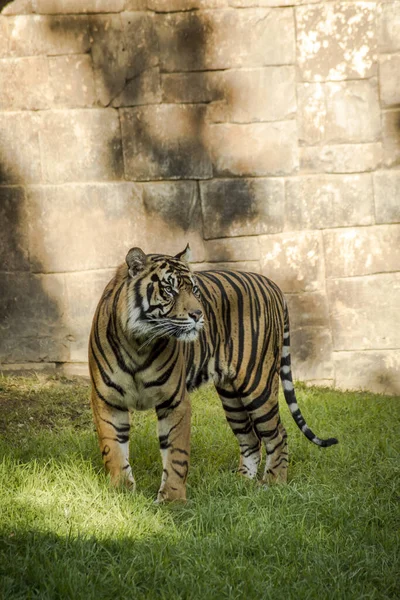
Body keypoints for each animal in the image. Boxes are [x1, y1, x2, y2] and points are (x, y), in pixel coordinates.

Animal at [88, 244, 338, 502]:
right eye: (169, 289)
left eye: (194, 289)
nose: (199, 315)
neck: (139, 343)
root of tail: (271, 283)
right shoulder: (107, 400)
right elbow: (113, 449)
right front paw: (122, 492)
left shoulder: (174, 401)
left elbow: (176, 454)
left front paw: (171, 500)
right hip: (231, 397)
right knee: (251, 440)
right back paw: (241, 483)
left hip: (257, 384)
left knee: (278, 434)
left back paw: (272, 484)